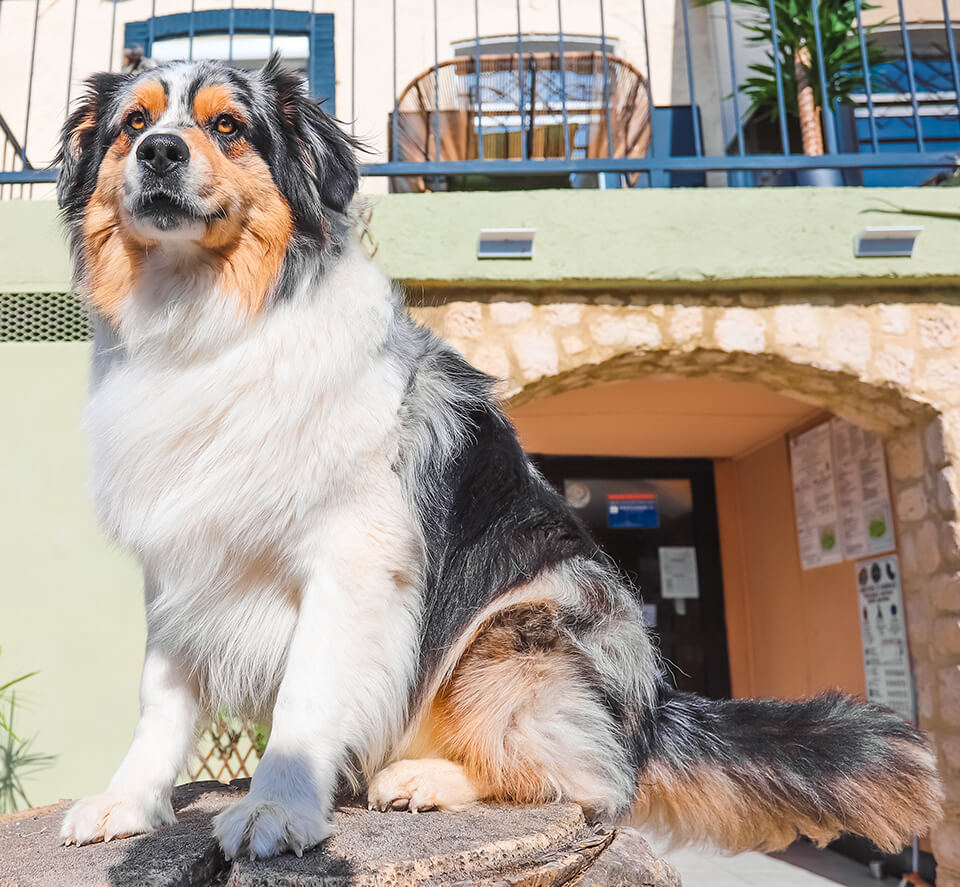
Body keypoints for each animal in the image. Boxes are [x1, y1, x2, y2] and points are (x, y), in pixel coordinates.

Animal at [58, 55, 944, 860]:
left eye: (228, 126)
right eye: (133, 123)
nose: (159, 152)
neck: (209, 323)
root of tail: (651, 712)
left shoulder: (352, 557)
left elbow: (307, 696)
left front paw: (278, 806)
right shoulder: (179, 555)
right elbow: (162, 695)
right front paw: (128, 800)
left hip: (530, 619)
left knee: (588, 780)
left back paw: (424, 777)